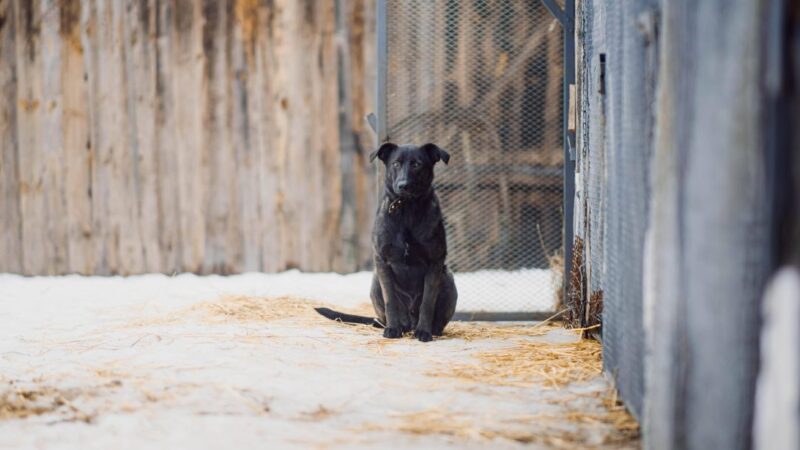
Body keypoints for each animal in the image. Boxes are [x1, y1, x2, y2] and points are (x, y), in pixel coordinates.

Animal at [318, 143, 460, 342]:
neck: (407, 209)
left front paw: (424, 332)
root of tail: (410, 323)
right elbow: (390, 300)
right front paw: (393, 329)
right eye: (396, 163)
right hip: (375, 282)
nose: (403, 185)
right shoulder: (382, 261)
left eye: (417, 164)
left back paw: (430, 330)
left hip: (447, 278)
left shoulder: (435, 262)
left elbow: (427, 302)